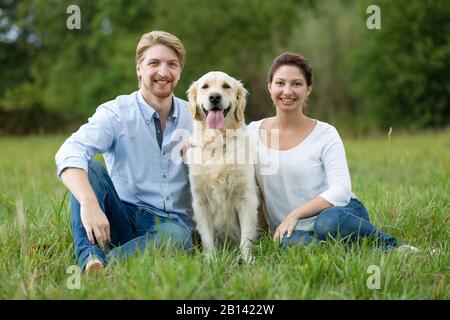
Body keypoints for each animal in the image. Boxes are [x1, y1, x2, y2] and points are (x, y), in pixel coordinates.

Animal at [185, 70, 260, 262]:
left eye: (226, 86)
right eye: (205, 86)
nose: (214, 97)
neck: (216, 144)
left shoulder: (246, 198)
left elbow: (245, 239)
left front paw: (248, 261)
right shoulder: (200, 201)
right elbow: (207, 238)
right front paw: (211, 261)